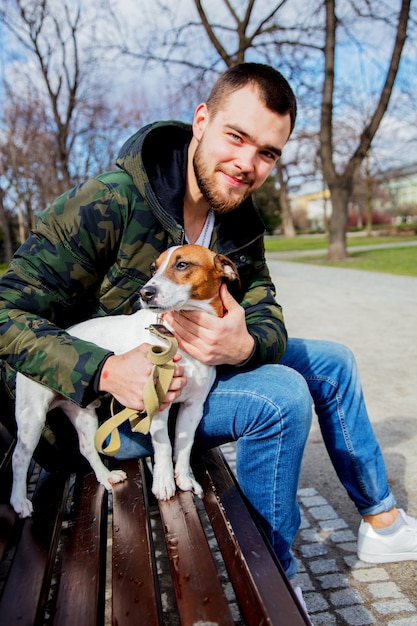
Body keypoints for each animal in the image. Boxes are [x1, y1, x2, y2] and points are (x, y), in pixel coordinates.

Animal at [9, 244, 239, 516]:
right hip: (32, 418)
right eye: (153, 267)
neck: (178, 338)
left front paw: (184, 478)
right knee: (19, 457)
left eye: (182, 264)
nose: (145, 292)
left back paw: (106, 476)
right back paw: (19, 502)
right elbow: (164, 445)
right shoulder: (158, 404)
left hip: (83, 413)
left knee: (87, 447)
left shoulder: (193, 407)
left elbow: (184, 445)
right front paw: (164, 482)